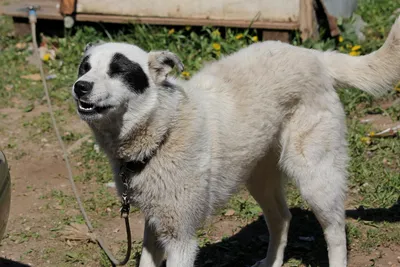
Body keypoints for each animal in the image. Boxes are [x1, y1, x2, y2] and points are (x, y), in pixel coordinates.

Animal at [72, 17, 400, 267]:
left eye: (118, 70)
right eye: (84, 67)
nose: (79, 87)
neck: (163, 128)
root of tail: (313, 55)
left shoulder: (181, 239)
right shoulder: (155, 226)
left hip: (315, 177)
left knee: (335, 230)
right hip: (259, 176)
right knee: (282, 218)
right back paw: (271, 263)